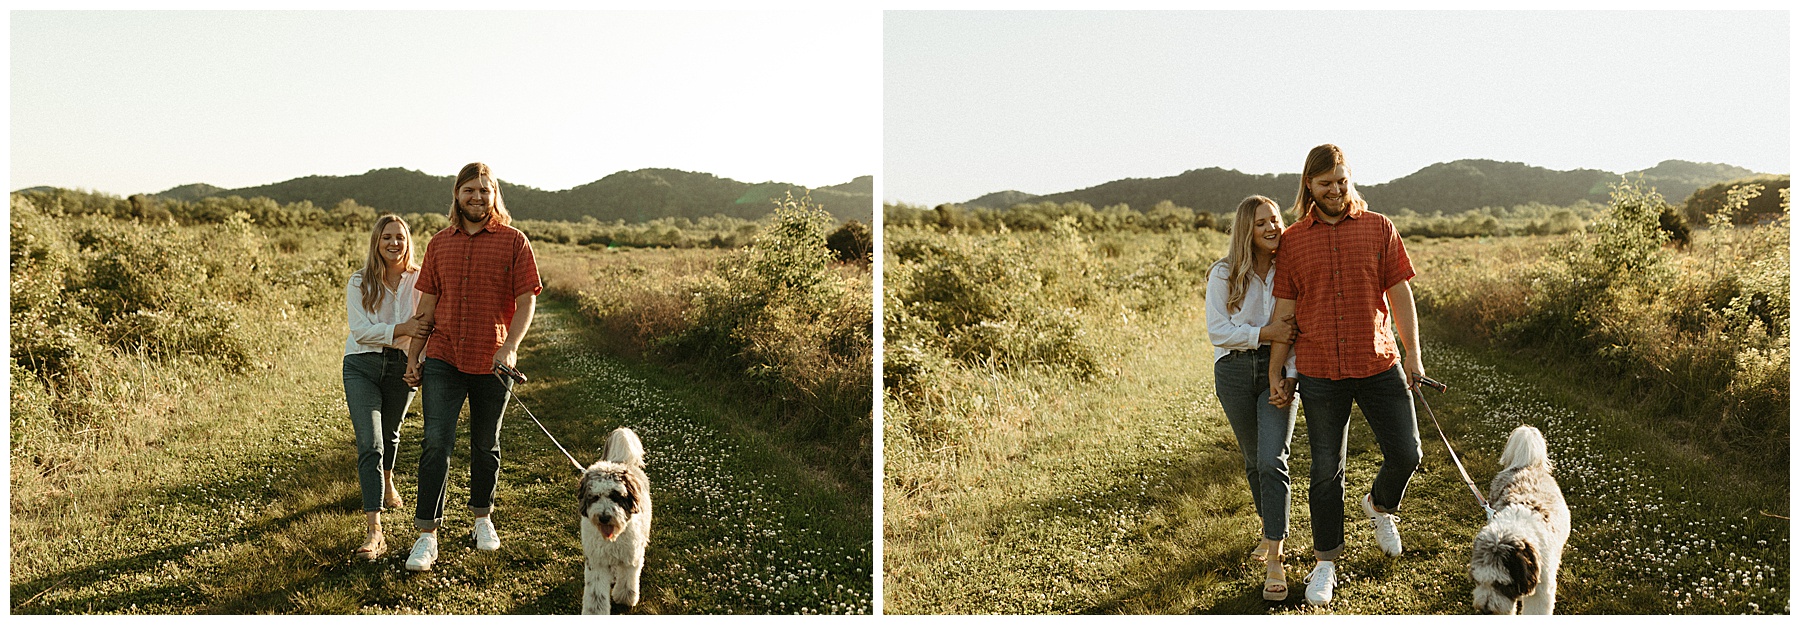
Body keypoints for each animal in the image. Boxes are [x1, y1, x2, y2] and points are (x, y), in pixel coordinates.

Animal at [576, 428, 655, 615]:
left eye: (616, 496)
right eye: (595, 497)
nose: (604, 517)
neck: (612, 537)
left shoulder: (630, 556)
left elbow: (627, 579)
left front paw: (625, 597)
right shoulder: (596, 560)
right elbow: (596, 593)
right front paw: (594, 612)